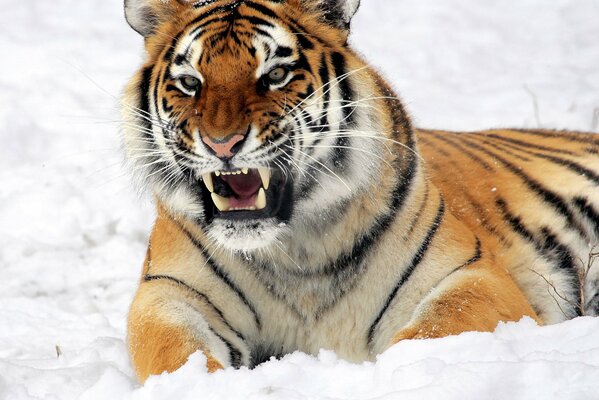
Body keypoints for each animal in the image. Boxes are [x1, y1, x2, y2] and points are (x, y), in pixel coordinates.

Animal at [120, 0, 599, 382]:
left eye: (276, 74)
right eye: (190, 82)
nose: (222, 144)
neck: (295, 251)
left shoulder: (471, 273)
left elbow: (434, 330)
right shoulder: (169, 292)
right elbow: (175, 354)